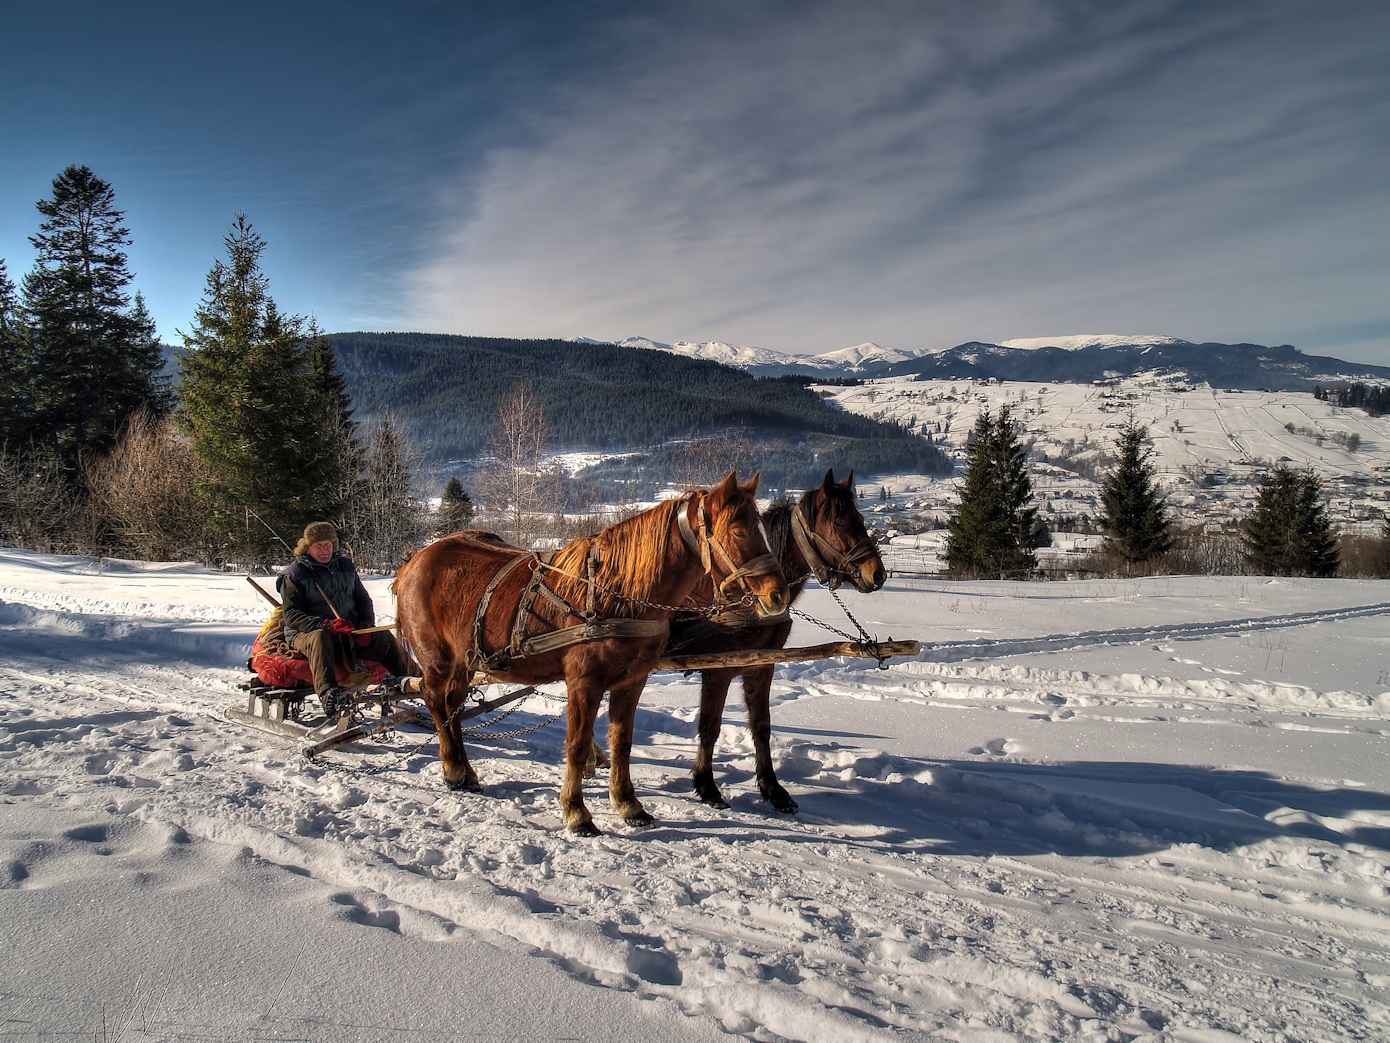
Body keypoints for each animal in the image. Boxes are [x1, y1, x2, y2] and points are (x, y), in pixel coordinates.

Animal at [397, 472, 789, 839]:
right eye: (738, 531)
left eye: (764, 529)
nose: (778, 595)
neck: (617, 593)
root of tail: (415, 560)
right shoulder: (584, 683)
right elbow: (577, 744)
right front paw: (576, 811)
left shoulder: (632, 681)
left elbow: (623, 742)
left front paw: (628, 804)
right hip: (438, 660)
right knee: (436, 701)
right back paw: (452, 769)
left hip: (464, 662)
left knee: (453, 706)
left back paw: (466, 771)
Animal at [664, 472, 889, 817]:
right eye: (839, 522)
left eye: (861, 519)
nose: (877, 574)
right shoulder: (718, 671)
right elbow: (709, 726)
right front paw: (707, 785)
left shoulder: (762, 665)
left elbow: (762, 726)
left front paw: (773, 789)